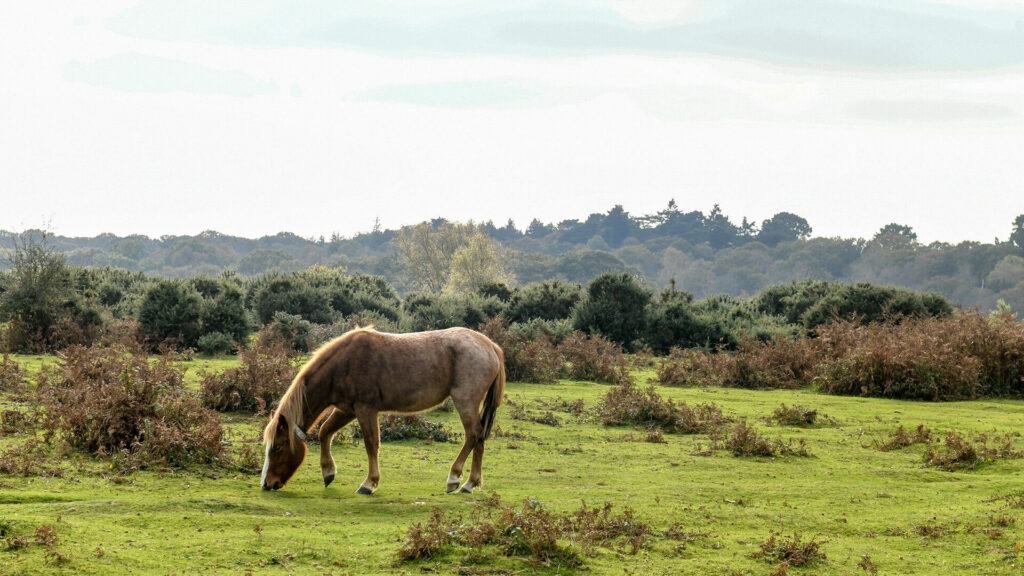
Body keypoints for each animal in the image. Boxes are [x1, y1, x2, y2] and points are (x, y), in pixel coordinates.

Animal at [260, 326, 505, 495]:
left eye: (278, 447)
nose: (266, 484)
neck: (343, 364)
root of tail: (490, 346)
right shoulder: (347, 410)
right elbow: (325, 432)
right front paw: (328, 472)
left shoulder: (365, 409)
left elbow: (371, 444)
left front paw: (369, 483)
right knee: (480, 438)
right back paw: (470, 483)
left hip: (465, 401)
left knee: (473, 435)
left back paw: (454, 478)